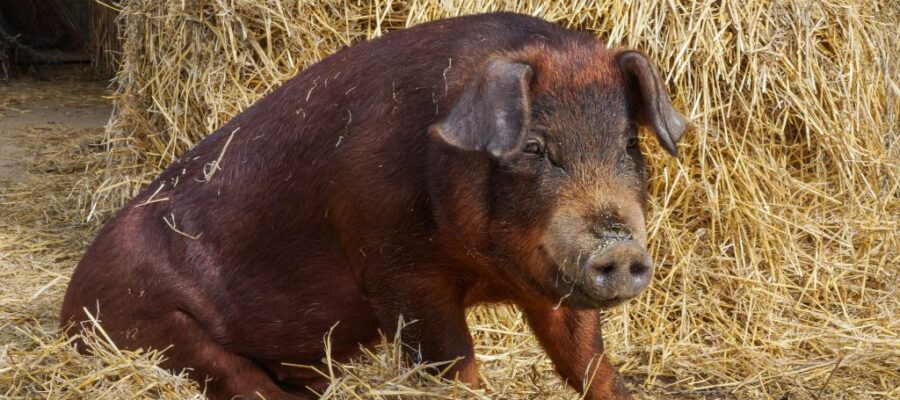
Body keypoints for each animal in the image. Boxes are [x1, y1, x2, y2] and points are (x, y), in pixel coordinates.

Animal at [60, 12, 686, 400]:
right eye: (534, 147)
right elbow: (452, 364)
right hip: (157, 326)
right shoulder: (398, 272)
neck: (485, 274)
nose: (619, 247)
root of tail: (68, 306)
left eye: (629, 144)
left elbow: (587, 360)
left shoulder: (552, 284)